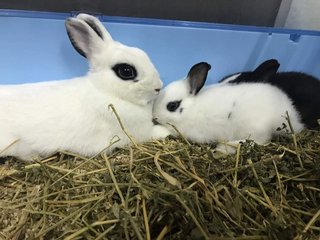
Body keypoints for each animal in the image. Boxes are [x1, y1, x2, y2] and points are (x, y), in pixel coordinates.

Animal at [0, 13, 170, 161]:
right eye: (126, 71)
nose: (158, 87)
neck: (105, 90)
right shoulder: (141, 132)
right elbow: (154, 132)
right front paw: (167, 131)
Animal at [154, 61, 304, 153]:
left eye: (172, 106)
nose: (154, 117)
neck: (192, 109)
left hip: (253, 128)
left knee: (259, 141)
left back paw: (224, 147)